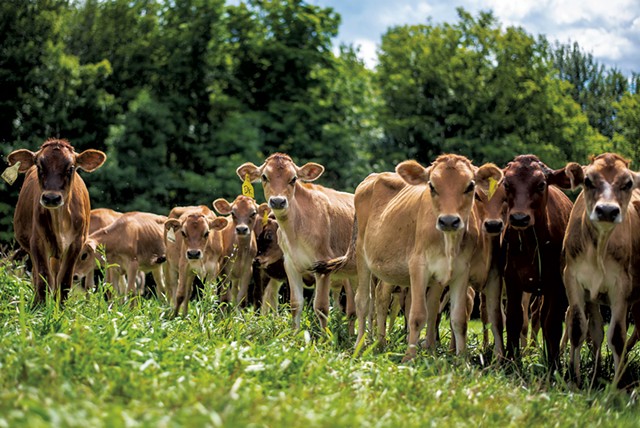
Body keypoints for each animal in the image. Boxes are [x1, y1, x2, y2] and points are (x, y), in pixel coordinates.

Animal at [8, 139, 105, 302]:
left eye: (70, 168)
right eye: (39, 166)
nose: (51, 198)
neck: (61, 221)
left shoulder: (76, 244)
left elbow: (64, 282)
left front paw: (59, 306)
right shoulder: (37, 242)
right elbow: (43, 280)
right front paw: (40, 307)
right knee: (40, 277)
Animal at [236, 155, 356, 332]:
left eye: (293, 179)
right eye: (264, 177)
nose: (278, 201)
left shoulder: (323, 266)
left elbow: (321, 307)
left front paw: (325, 337)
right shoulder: (290, 265)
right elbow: (295, 304)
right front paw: (295, 335)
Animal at [502, 155, 572, 370]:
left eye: (541, 184)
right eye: (507, 184)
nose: (519, 218)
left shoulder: (557, 284)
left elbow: (552, 324)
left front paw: (554, 365)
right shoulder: (512, 281)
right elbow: (514, 320)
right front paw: (511, 361)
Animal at [560, 153, 640, 384]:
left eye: (627, 183)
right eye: (588, 180)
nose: (606, 210)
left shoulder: (621, 287)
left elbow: (617, 337)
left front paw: (617, 384)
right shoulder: (573, 279)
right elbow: (579, 328)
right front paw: (574, 379)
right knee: (595, 332)